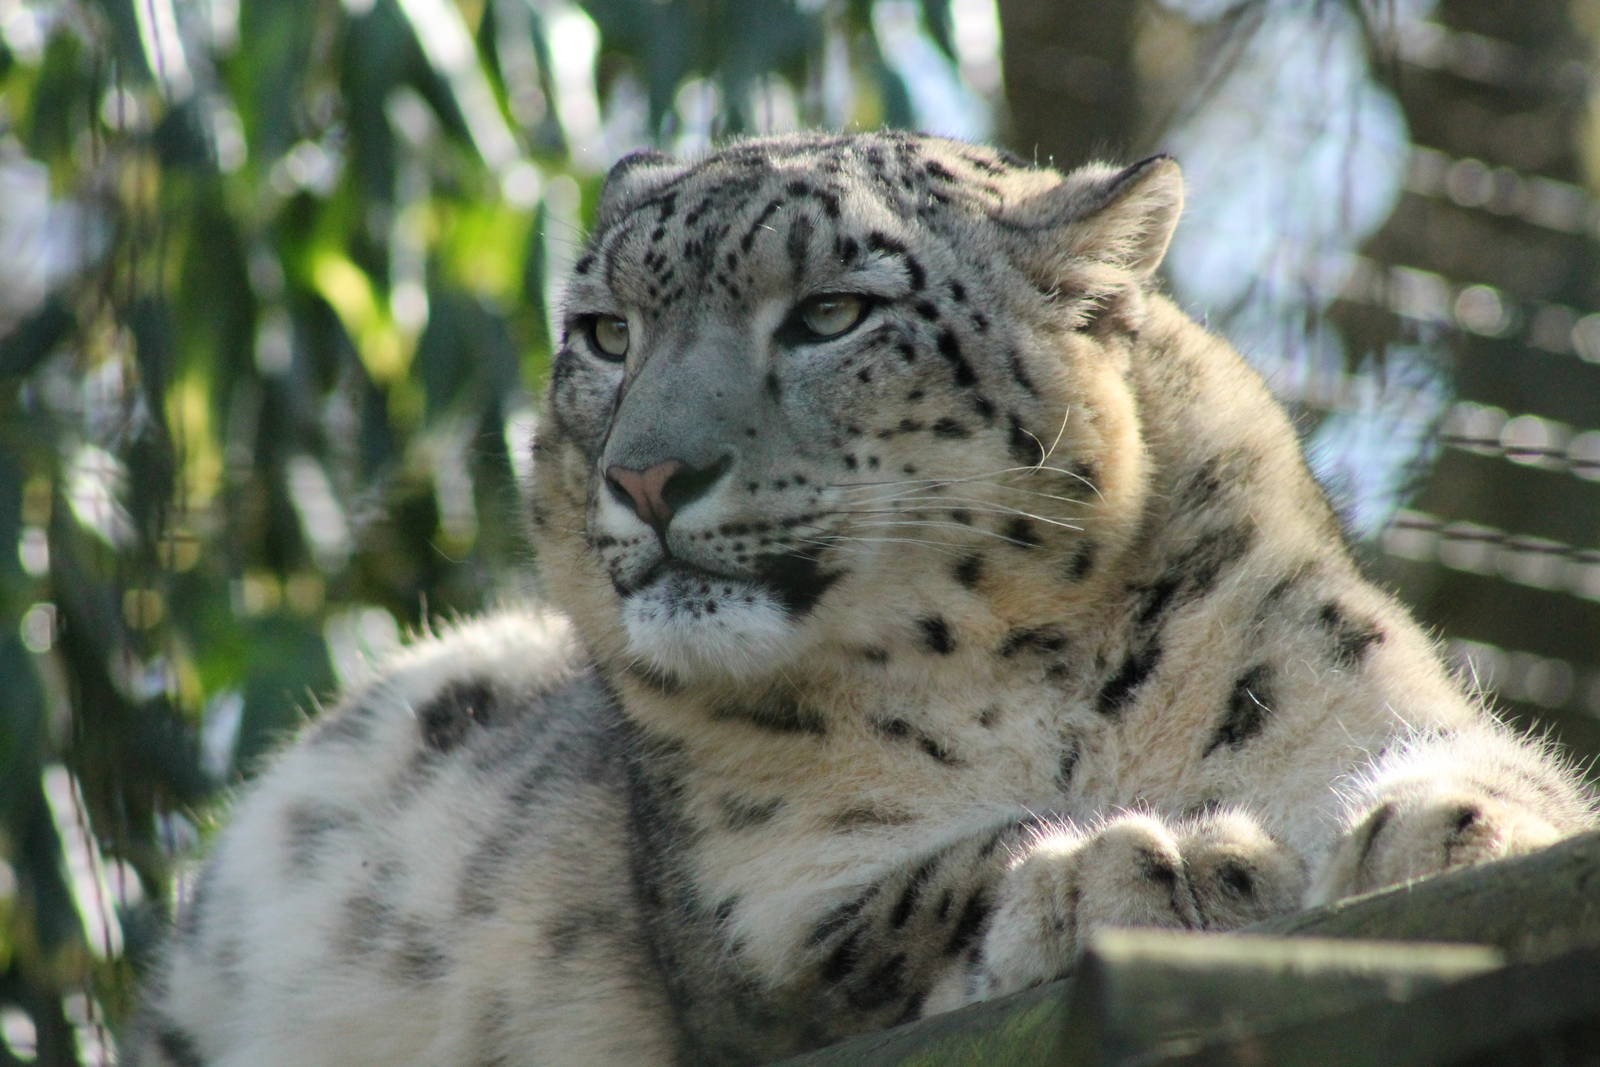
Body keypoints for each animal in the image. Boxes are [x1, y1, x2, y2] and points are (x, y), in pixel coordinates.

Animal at [125, 131, 1597, 1065]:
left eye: (831, 313)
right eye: (604, 333)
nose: (644, 474)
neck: (1045, 679)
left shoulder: (1345, 685)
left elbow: (1506, 776)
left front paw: (1436, 824)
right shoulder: (767, 919)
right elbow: (933, 882)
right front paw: (1145, 859)